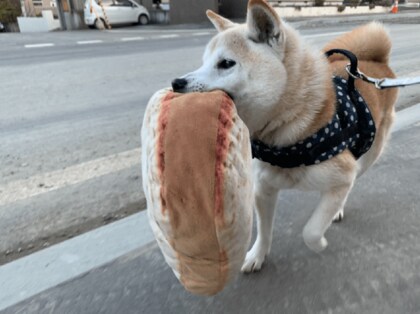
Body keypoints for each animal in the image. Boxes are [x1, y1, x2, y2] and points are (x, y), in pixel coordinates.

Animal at [170, 0, 398, 272]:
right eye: (204, 62)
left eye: (226, 63)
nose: (176, 83)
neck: (285, 138)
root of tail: (377, 63)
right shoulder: (263, 188)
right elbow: (264, 231)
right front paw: (257, 256)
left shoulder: (343, 175)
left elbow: (311, 231)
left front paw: (320, 243)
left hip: (366, 159)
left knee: (351, 185)